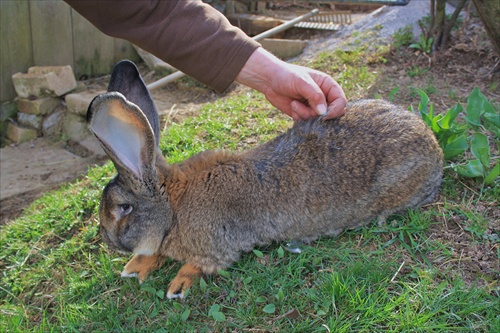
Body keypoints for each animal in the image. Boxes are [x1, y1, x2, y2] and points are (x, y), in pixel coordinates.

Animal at [88, 59, 444, 298]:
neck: (173, 208)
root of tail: (432, 144)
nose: (105, 238)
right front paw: (135, 266)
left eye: (123, 209)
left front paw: (177, 285)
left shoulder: (218, 246)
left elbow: (198, 265)